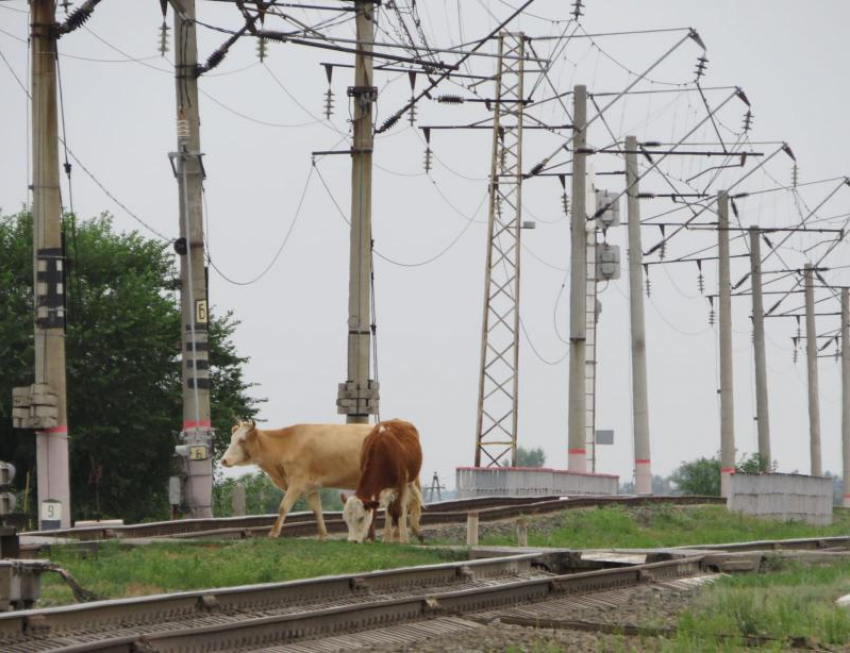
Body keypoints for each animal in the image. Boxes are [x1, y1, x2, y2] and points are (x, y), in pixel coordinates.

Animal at [219, 420, 372, 536]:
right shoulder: (310, 488)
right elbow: (317, 511)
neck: (286, 445)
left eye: (242, 440)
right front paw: (323, 535)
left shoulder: (297, 483)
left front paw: (273, 533)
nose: (224, 460)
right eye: (232, 439)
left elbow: (283, 507)